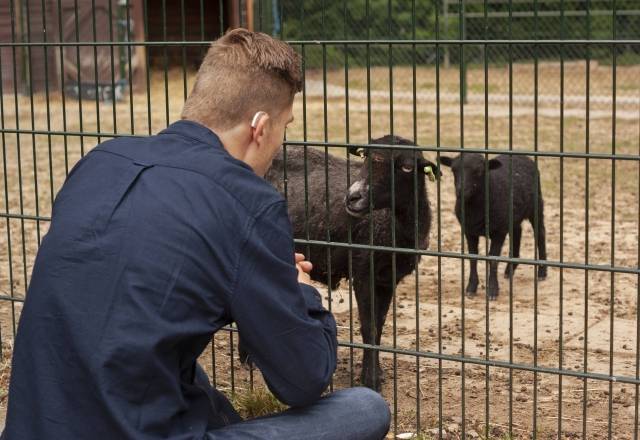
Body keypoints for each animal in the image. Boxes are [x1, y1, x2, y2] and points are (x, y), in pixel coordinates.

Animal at [262, 135, 440, 392]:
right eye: (365, 157)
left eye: (407, 167)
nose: (353, 197)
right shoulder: (363, 270)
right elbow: (368, 325)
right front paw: (371, 379)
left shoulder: (387, 278)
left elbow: (379, 324)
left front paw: (376, 372)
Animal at [440, 153, 552, 300]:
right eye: (453, 170)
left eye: (479, 171)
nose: (461, 191)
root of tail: (522, 155)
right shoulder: (469, 231)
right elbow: (472, 258)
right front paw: (471, 288)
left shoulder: (499, 231)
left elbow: (493, 259)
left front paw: (493, 290)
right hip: (513, 214)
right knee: (517, 231)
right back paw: (510, 269)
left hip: (536, 205)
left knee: (540, 233)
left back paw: (542, 272)